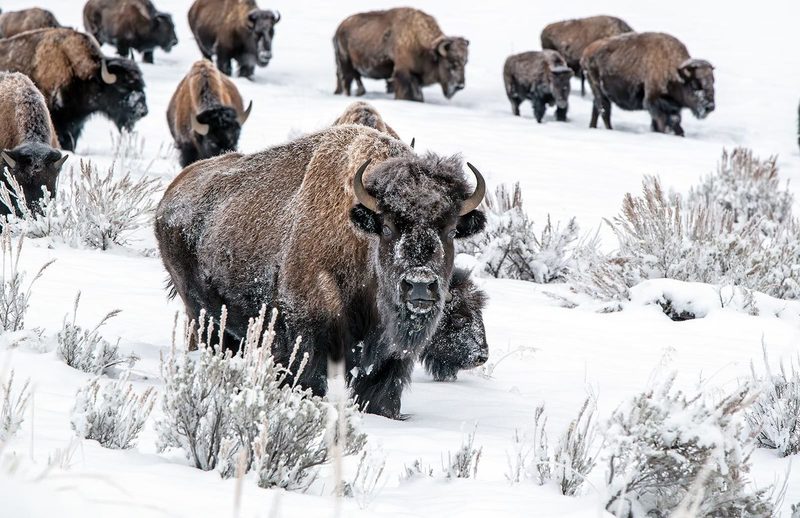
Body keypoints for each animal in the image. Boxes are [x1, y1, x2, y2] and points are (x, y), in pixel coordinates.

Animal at [155, 125, 486, 418]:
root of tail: (171, 194)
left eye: (451, 230)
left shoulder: (388, 358)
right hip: (200, 313)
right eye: (387, 227)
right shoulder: (306, 335)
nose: (419, 285)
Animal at [333, 7, 469, 102]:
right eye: (451, 62)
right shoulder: (404, 73)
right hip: (345, 63)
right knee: (347, 81)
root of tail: (339, 29)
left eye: (465, 62)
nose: (460, 86)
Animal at [581, 32, 715, 136]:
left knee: (597, 108)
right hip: (599, 90)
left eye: (713, 81)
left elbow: (676, 123)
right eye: (695, 84)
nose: (710, 106)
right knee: (604, 111)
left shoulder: (672, 109)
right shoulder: (653, 102)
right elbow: (662, 123)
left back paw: (593, 127)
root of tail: (587, 51)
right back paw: (609, 129)